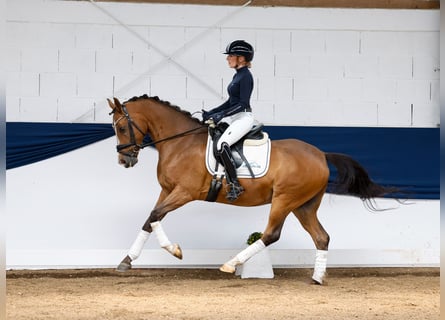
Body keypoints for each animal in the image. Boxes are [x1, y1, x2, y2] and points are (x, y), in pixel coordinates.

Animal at [106, 94, 396, 284]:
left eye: (121, 127)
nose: (124, 160)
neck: (180, 143)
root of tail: (321, 155)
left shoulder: (184, 193)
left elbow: (155, 216)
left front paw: (175, 250)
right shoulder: (167, 191)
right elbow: (150, 219)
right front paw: (126, 261)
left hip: (284, 200)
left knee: (271, 234)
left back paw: (231, 264)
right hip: (304, 206)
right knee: (321, 237)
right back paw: (317, 278)